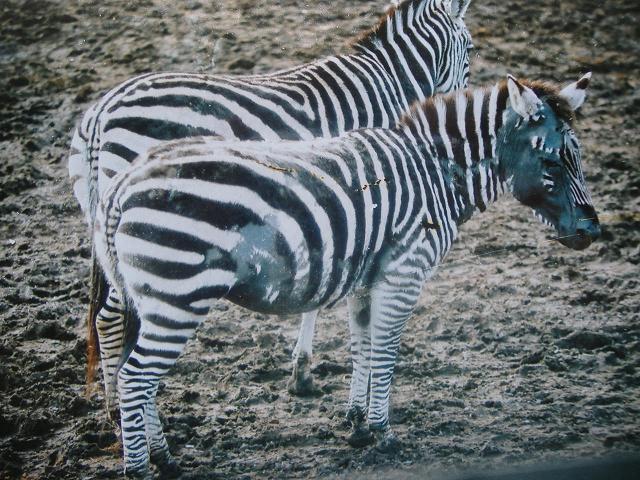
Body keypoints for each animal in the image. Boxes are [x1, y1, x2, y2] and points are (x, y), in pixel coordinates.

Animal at [69, 0, 474, 405]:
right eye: (470, 49)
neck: (389, 81)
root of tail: (102, 111)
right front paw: (305, 372)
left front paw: (302, 371)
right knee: (116, 317)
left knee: (110, 316)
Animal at [93, 73, 599, 477]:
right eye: (553, 161)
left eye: (578, 157)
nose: (592, 231)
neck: (433, 171)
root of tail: (125, 182)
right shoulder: (404, 271)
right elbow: (387, 350)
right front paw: (382, 430)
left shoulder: (366, 277)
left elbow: (363, 346)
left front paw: (356, 423)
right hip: (179, 295)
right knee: (134, 379)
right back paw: (140, 468)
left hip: (151, 295)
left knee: (135, 374)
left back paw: (164, 457)